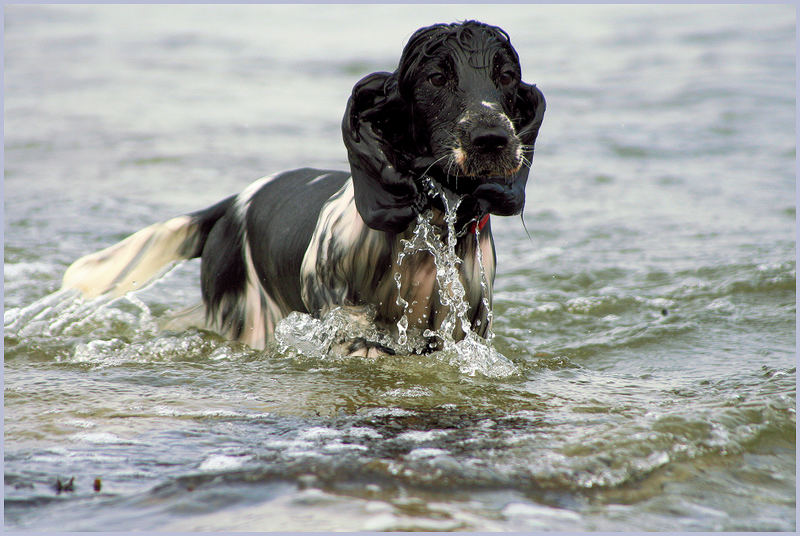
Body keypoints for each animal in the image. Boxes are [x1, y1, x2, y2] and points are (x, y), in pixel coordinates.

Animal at [61, 21, 544, 356]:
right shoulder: (331, 299)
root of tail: (230, 205)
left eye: (505, 75)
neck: (432, 223)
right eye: (436, 78)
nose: (492, 139)